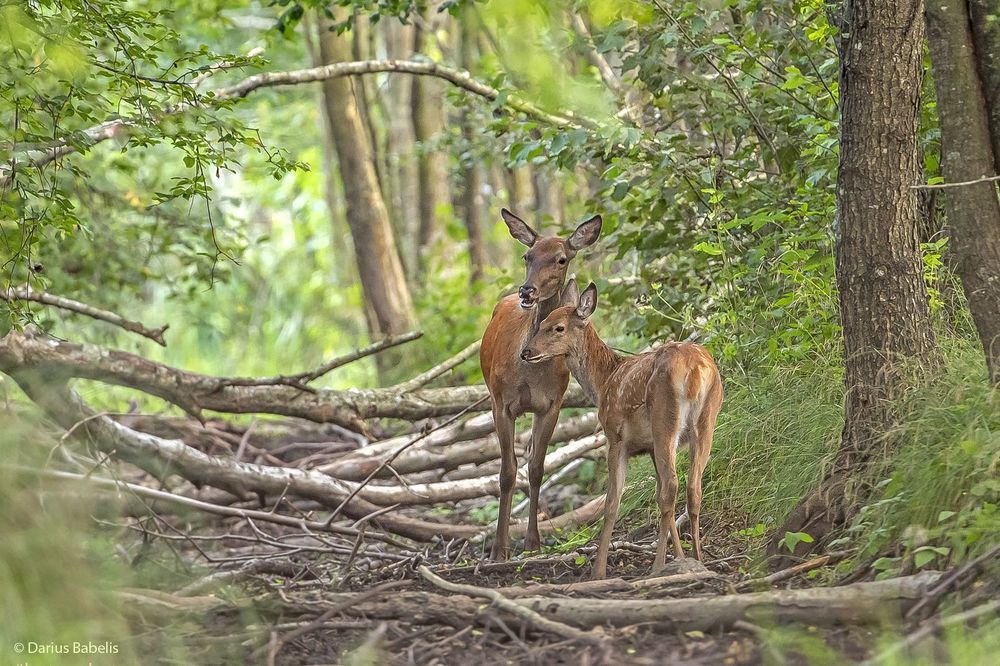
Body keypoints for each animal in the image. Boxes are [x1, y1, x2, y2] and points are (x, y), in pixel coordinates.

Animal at [480, 209, 602, 560]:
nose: (527, 292)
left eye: (561, 259)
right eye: (527, 255)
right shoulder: (501, 403)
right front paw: (499, 548)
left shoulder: (552, 404)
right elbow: (507, 473)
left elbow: (536, 469)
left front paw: (533, 542)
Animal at [521, 281, 723, 579]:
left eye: (558, 327)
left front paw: (598, 571)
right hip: (706, 422)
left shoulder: (616, 437)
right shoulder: (649, 447)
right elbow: (656, 493)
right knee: (691, 488)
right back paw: (698, 561)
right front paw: (680, 557)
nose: (526, 352)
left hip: (665, 421)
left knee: (672, 486)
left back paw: (657, 566)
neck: (604, 380)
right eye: (541, 322)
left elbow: (612, 503)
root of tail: (697, 370)